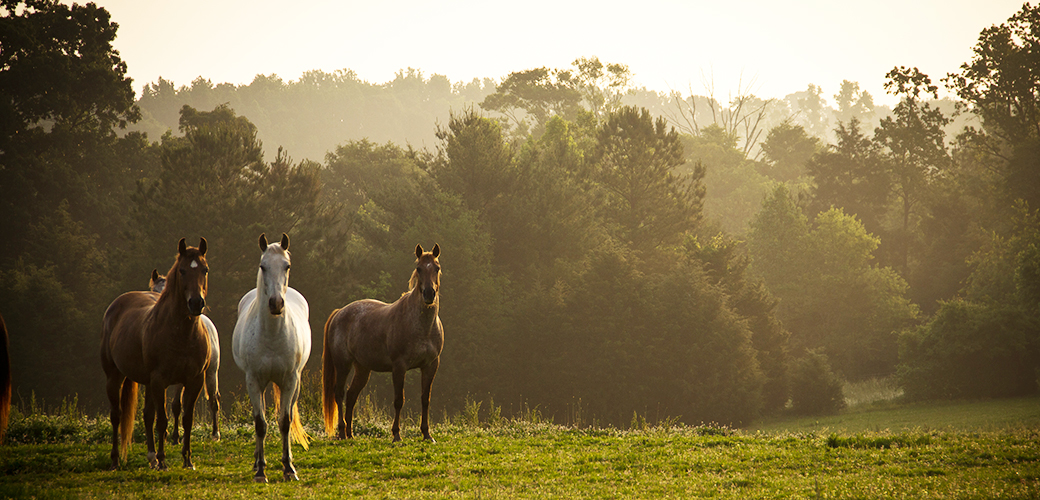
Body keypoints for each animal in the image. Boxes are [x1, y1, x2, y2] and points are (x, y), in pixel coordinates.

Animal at [100, 240, 212, 469]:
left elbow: (187, 419)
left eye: (205, 270)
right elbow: (162, 421)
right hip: (115, 376)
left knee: (147, 415)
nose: (196, 303)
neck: (182, 334)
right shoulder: (160, 380)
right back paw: (116, 460)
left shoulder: (194, 380)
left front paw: (187, 459)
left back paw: (151, 457)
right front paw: (163, 460)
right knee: (116, 415)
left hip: (148, 382)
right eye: (182, 270)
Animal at [148, 270, 221, 442]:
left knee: (213, 399)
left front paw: (174, 435)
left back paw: (215, 433)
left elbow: (176, 405)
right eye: (154, 291)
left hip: (211, 372)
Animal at [235, 233, 312, 482]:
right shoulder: (253, 381)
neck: (271, 335)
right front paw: (260, 470)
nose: (276, 304)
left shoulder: (290, 380)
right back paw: (257, 462)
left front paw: (289, 468)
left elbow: (285, 422)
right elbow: (260, 423)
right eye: (263, 266)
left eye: (287, 266)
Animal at [320, 243, 443, 442]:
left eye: (437, 268)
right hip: (343, 364)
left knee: (352, 395)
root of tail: (339, 312)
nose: (429, 294)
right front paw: (396, 435)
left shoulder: (430, 365)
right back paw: (342, 432)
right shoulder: (399, 366)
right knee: (339, 393)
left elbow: (425, 399)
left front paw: (427, 434)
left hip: (362, 368)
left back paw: (350, 434)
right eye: (419, 268)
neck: (422, 327)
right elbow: (399, 400)